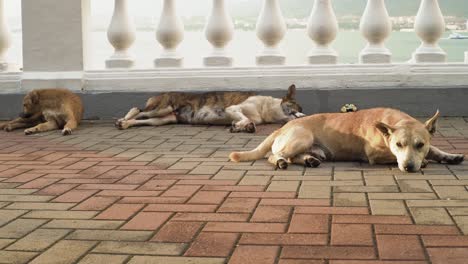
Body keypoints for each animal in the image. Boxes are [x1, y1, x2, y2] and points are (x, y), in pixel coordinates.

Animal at [116, 84, 304, 133]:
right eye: (296, 106)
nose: (305, 116)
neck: (267, 108)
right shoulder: (233, 108)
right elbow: (244, 117)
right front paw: (242, 125)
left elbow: (247, 121)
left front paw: (240, 127)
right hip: (161, 107)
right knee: (138, 109)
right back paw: (122, 119)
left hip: (162, 119)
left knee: (142, 120)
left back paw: (125, 124)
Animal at [230, 108, 464, 173]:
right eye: (398, 145)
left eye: (420, 144)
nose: (408, 167)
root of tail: (282, 127)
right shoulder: (375, 154)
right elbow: (393, 156)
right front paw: (424, 161)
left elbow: (435, 149)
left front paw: (450, 156)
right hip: (302, 137)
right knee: (273, 155)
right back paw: (280, 161)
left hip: (312, 148)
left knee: (294, 157)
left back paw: (309, 160)